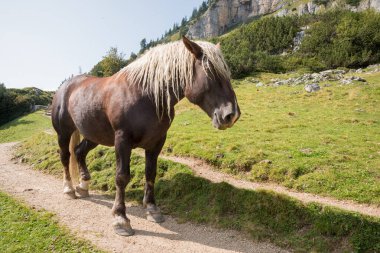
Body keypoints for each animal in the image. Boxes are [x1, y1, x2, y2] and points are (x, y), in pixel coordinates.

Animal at [51, 36, 240, 236]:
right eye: (210, 72)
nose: (232, 115)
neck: (146, 95)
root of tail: (65, 87)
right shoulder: (122, 141)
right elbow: (122, 177)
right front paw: (121, 219)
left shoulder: (156, 142)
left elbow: (151, 173)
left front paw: (152, 209)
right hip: (63, 133)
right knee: (65, 156)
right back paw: (69, 189)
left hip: (93, 135)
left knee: (79, 152)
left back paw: (83, 186)